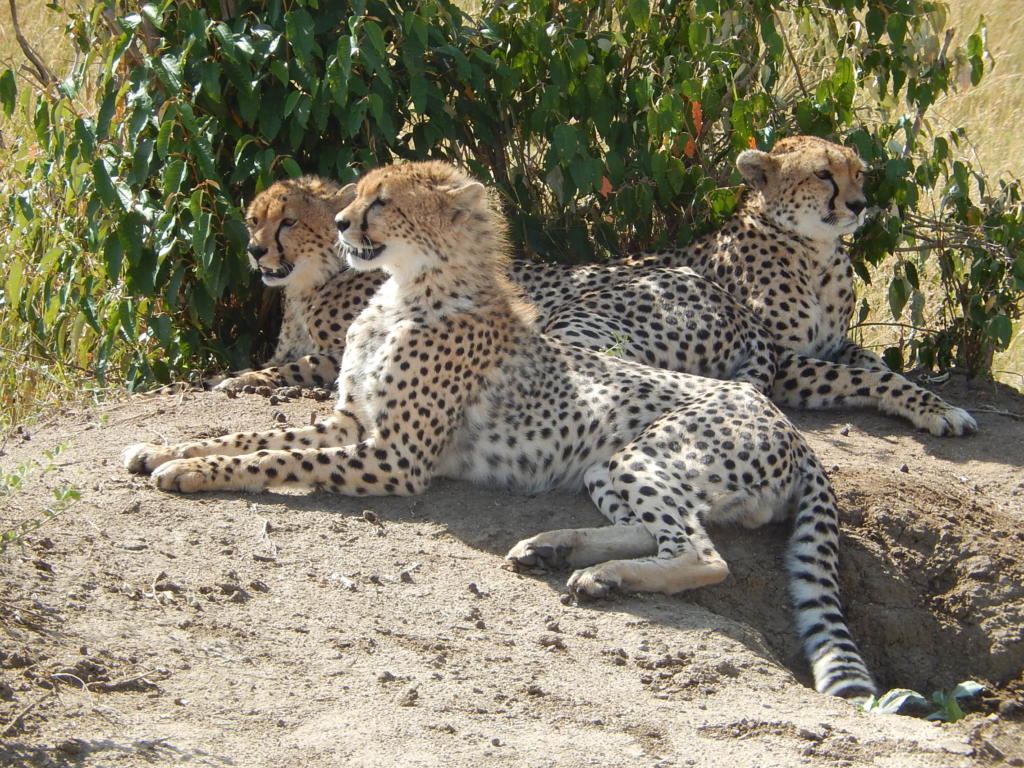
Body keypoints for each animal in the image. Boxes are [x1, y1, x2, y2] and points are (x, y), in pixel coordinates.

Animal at [125, 162, 880, 704]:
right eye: (354, 195)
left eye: (380, 202)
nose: (339, 222)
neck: (400, 291)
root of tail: (790, 428)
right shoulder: (350, 421)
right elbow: (247, 436)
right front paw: (167, 449)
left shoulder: (392, 459)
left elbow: (272, 457)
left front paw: (190, 472)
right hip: (608, 465)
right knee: (664, 530)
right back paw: (558, 548)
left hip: (643, 454)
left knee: (702, 553)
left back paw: (599, 575)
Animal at [622, 137, 974, 438]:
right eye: (822, 174)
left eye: (858, 173)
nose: (859, 205)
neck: (815, 253)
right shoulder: (783, 361)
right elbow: (872, 376)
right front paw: (938, 410)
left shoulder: (833, 344)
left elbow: (871, 360)